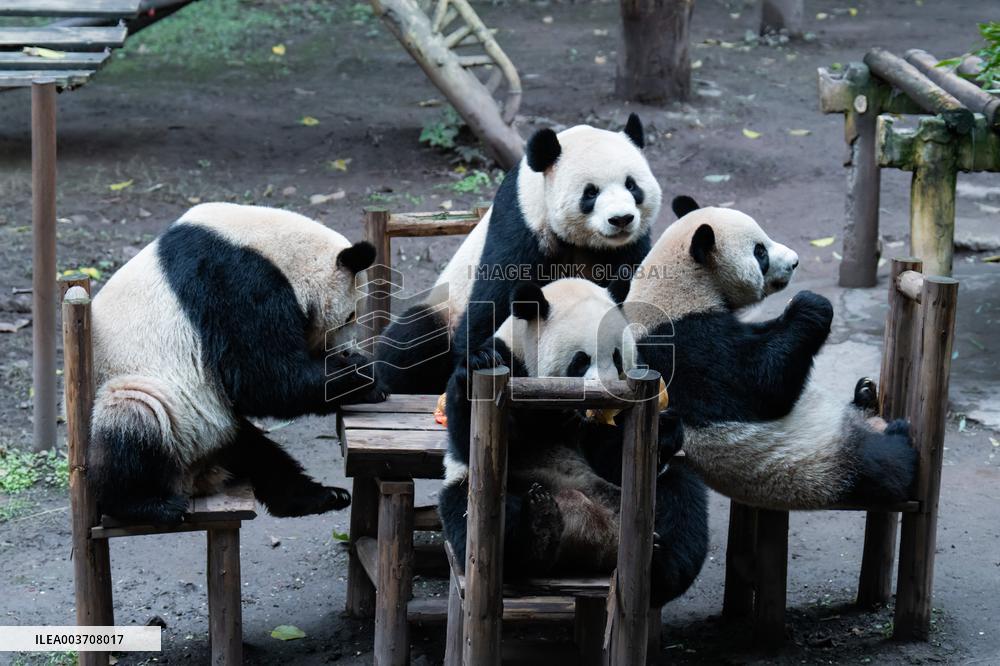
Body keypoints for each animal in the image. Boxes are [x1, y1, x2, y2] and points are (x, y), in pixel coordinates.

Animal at [89, 203, 386, 523]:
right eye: (350, 315)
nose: (345, 350)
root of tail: (194, 477)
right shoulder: (234, 279)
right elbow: (265, 379)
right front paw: (365, 377)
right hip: (152, 397)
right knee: (134, 419)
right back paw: (148, 505)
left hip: (213, 426)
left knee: (259, 454)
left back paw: (320, 496)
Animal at [374, 114, 662, 395]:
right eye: (591, 192)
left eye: (632, 185)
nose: (621, 219)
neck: (585, 242)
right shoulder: (521, 222)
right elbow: (495, 296)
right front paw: (478, 359)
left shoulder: (630, 245)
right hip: (445, 307)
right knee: (412, 338)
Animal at [438, 278, 708, 606]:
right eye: (581, 360)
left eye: (617, 356)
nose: (604, 390)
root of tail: (596, 539)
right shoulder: (515, 368)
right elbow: (475, 439)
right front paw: (477, 363)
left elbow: (613, 458)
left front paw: (666, 426)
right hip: (487, 492)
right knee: (484, 516)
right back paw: (538, 530)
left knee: (681, 504)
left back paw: (659, 567)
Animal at [623, 196, 917, 510]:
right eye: (760, 252)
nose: (795, 261)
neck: (680, 287)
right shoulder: (684, 342)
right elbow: (759, 386)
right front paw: (812, 305)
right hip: (826, 464)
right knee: (883, 464)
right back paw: (897, 435)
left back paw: (865, 395)